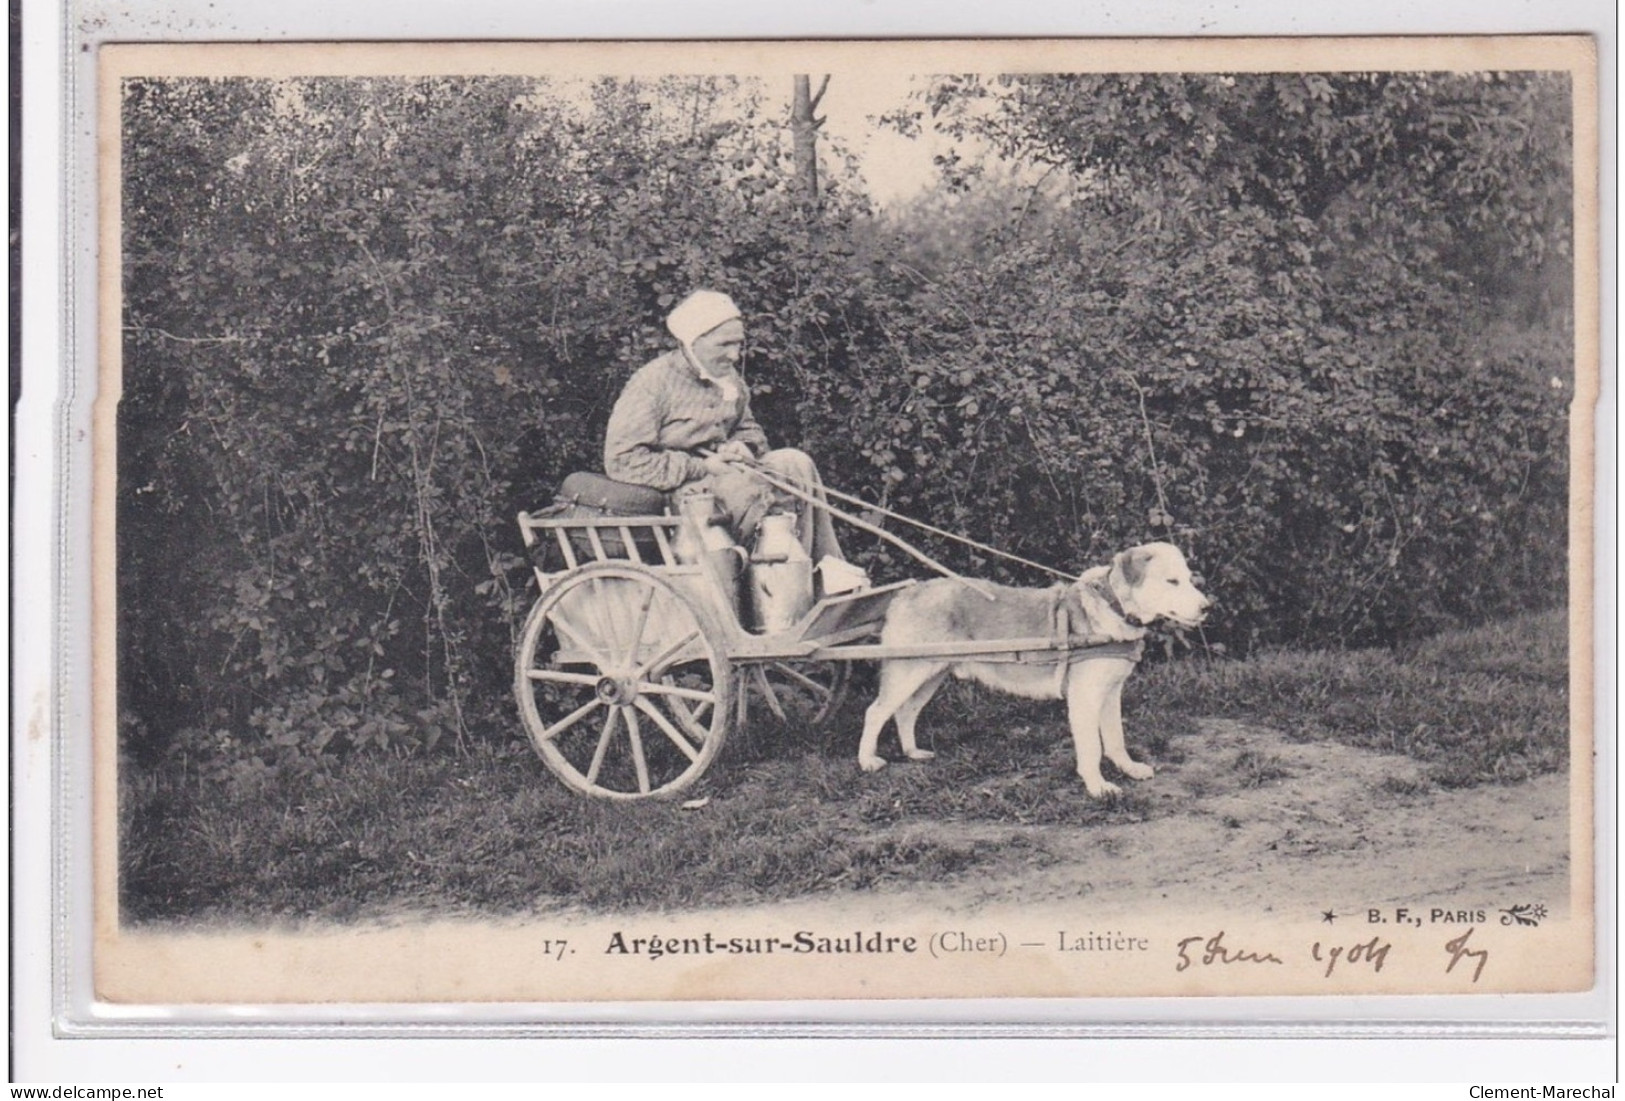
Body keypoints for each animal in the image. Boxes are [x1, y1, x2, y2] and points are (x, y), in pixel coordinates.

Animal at [864, 548, 1209, 798]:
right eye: (1172, 581)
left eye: (1189, 579)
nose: (1207, 607)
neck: (1113, 609)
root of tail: (904, 595)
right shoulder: (1084, 700)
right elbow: (1092, 748)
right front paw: (1097, 787)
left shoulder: (1111, 693)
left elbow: (1115, 739)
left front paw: (1129, 769)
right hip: (908, 673)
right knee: (876, 712)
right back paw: (867, 761)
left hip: (929, 676)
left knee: (905, 712)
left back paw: (912, 752)